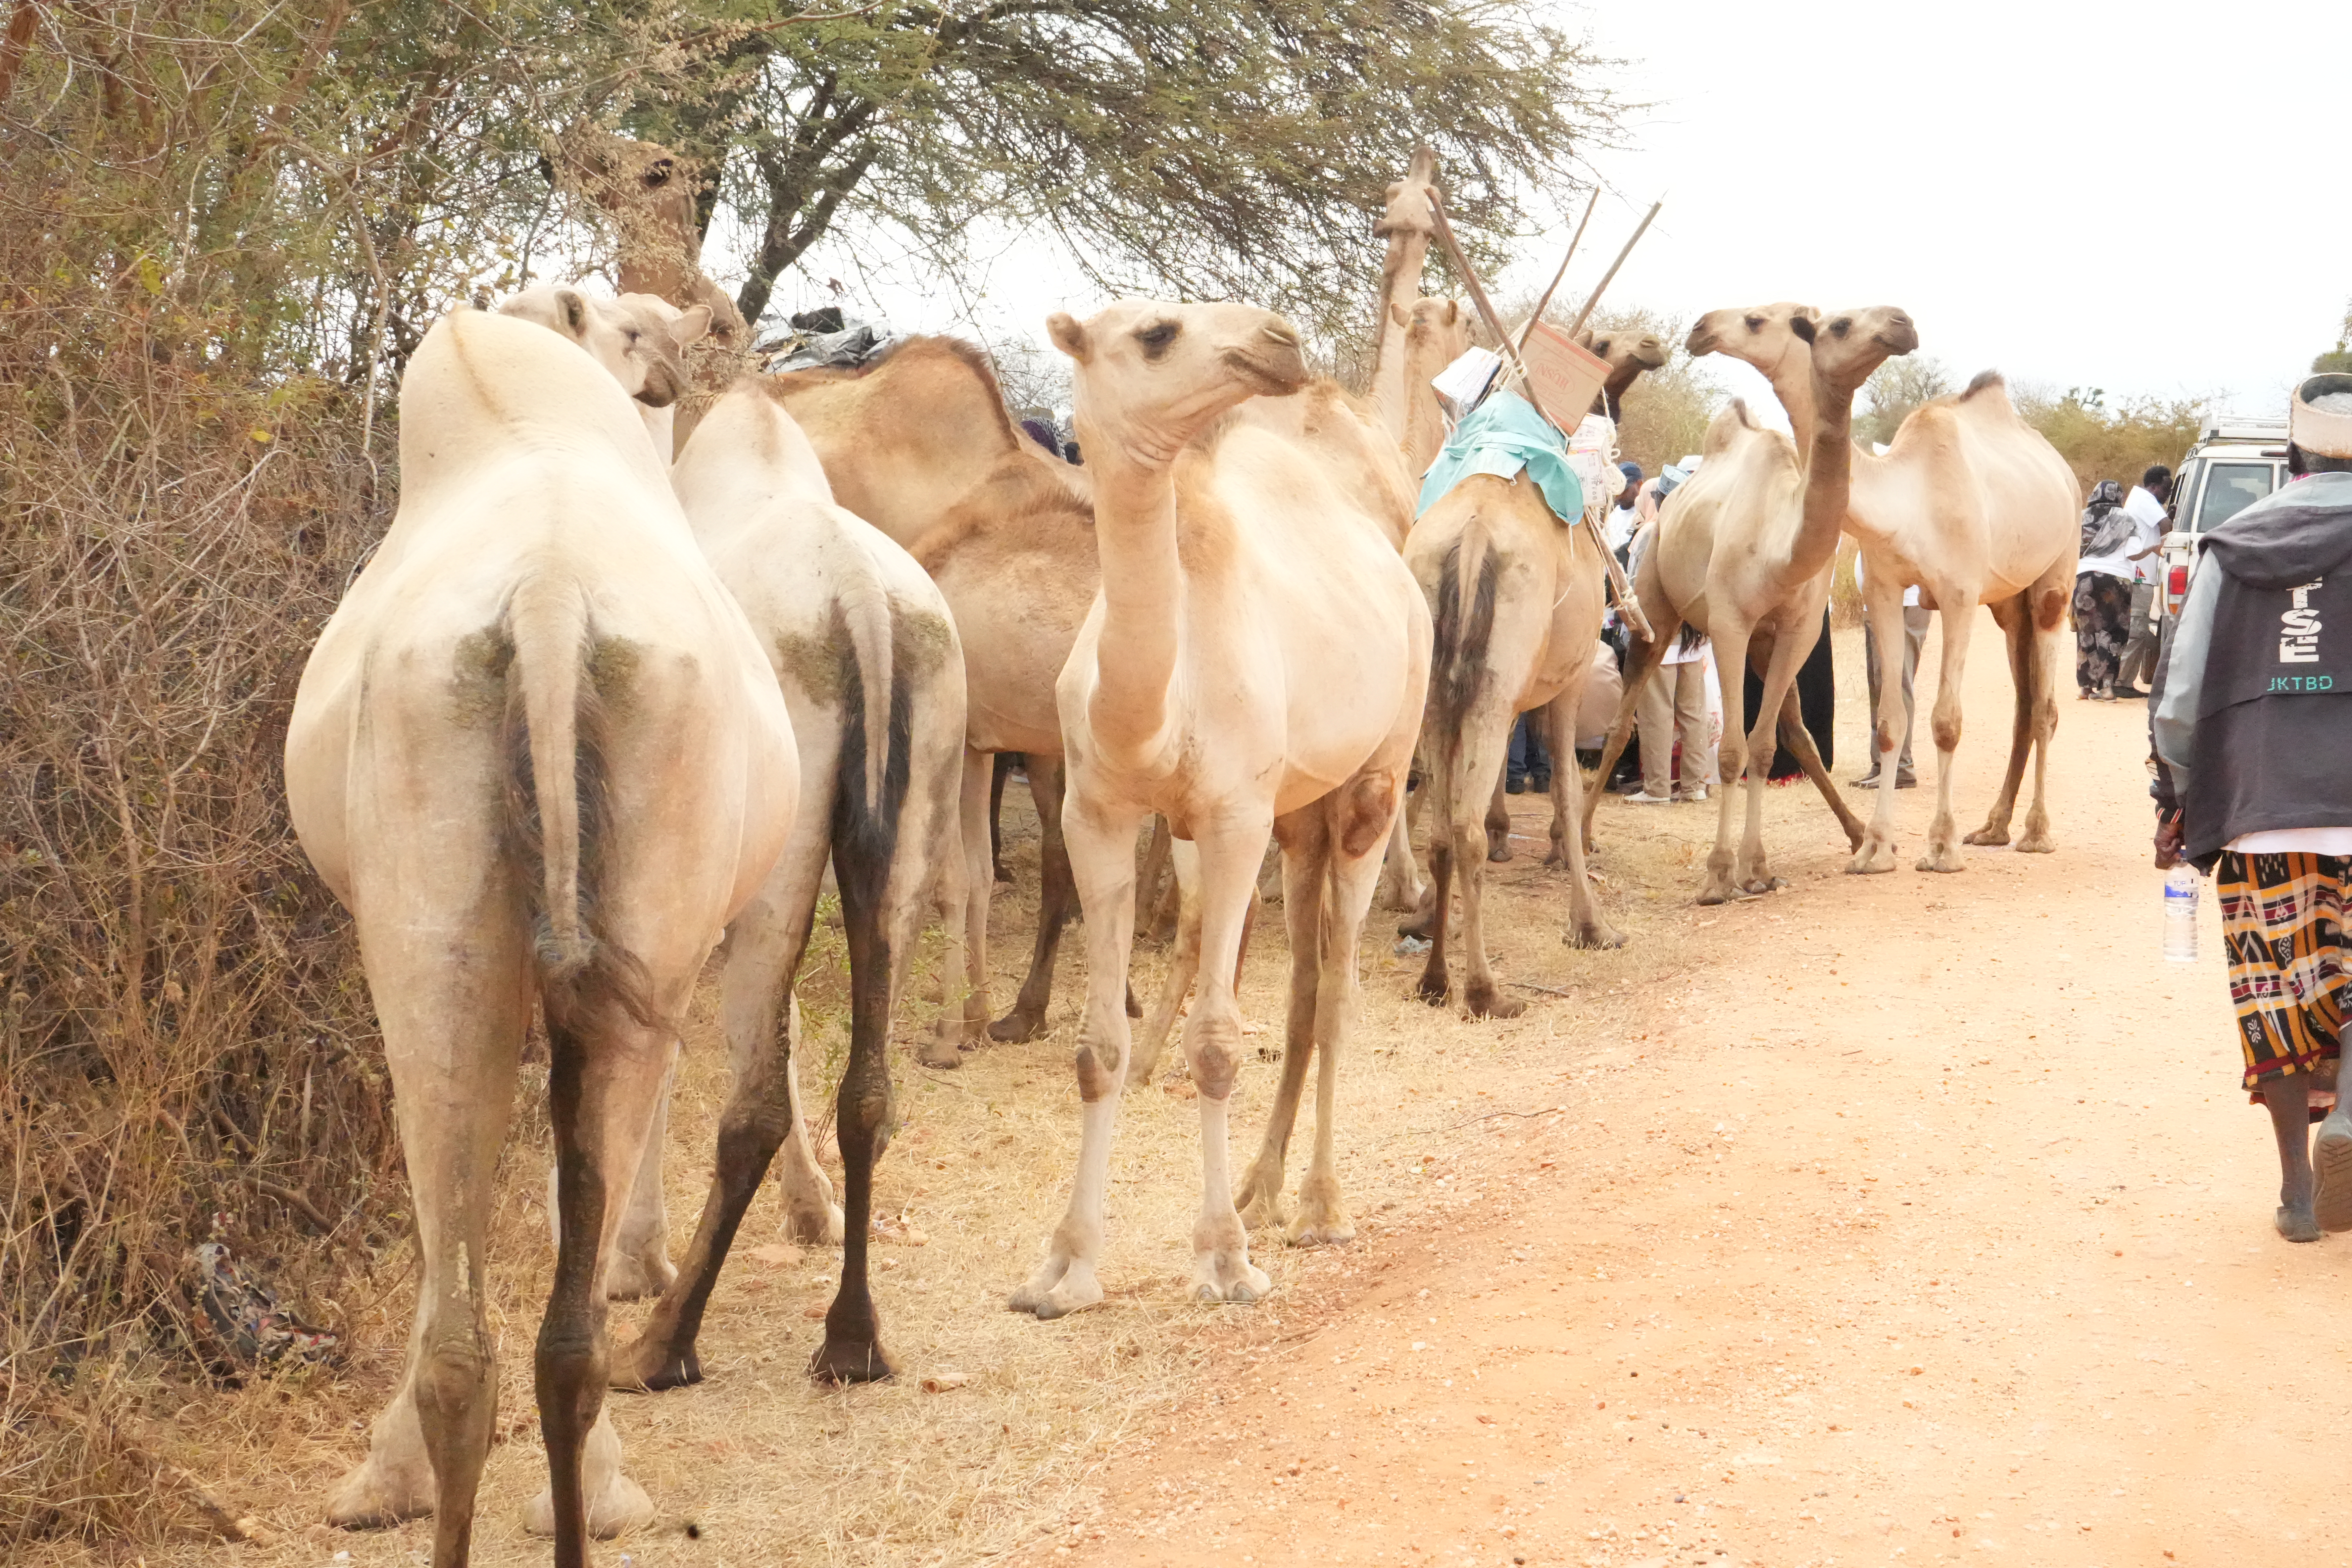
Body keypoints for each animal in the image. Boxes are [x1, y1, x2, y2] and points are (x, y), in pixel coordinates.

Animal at [290, 303, 796, 1563]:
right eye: (641, 327)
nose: (690, 352)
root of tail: (553, 601)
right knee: (556, 1334)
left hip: (434, 938)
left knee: (476, 1339)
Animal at [1010, 299, 1429, 1320]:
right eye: (1156, 333)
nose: (1279, 339)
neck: (1155, 708)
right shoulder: (1099, 813)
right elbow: (1099, 1047)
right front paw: (1063, 1268)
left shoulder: (1235, 818)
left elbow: (1212, 1045)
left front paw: (1225, 1262)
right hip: (1301, 813)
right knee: (1309, 983)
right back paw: (1262, 1187)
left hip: (1377, 776)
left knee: (1339, 989)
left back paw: (1320, 1206)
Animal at [1583, 304, 1917, 903]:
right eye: (1840, 325)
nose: (1700, 329)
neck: (1781, 548)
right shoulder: (1730, 625)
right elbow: (1732, 752)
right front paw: (1720, 874)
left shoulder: (1796, 631)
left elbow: (1763, 747)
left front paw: (1756, 867)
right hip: (1654, 610)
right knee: (1621, 725)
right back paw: (1577, 836)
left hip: (1762, 643)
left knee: (1795, 733)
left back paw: (1859, 834)